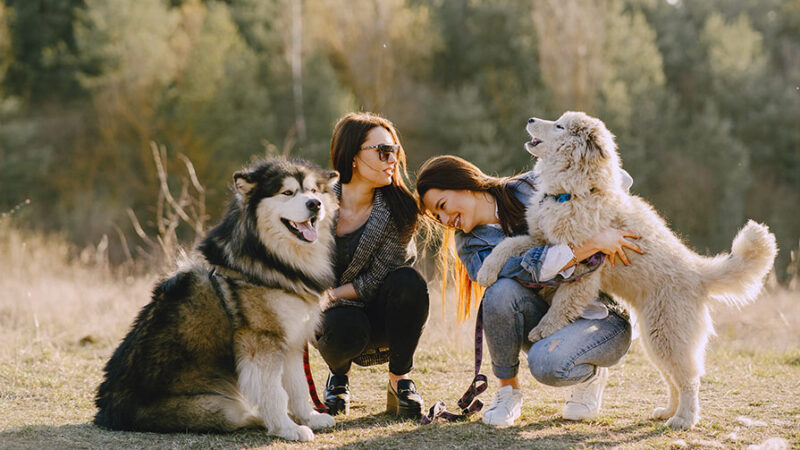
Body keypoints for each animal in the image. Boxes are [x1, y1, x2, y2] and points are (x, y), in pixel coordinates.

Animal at [95, 157, 340, 440]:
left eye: (313, 191)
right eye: (287, 192)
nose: (315, 204)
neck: (272, 259)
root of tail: (109, 412)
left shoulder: (291, 340)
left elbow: (298, 387)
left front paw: (309, 418)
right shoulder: (262, 341)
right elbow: (274, 393)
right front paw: (287, 428)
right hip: (218, 405)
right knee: (239, 415)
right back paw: (261, 419)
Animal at [478, 111, 780, 428]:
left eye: (559, 125)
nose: (530, 118)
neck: (572, 192)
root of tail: (698, 272)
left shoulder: (584, 266)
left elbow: (562, 304)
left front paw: (543, 330)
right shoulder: (541, 240)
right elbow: (508, 245)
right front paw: (486, 271)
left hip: (668, 335)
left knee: (689, 379)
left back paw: (683, 419)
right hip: (654, 337)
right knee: (672, 379)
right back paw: (667, 411)